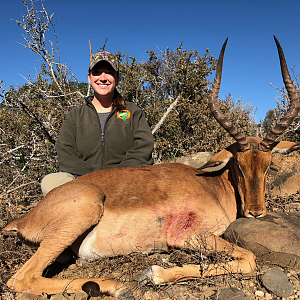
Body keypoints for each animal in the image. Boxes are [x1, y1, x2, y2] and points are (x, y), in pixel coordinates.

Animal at [2, 36, 300, 298]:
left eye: (269, 164)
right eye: (238, 163)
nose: (256, 213)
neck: (212, 185)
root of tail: (23, 220)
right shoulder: (189, 236)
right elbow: (249, 258)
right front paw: (153, 273)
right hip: (84, 208)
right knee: (21, 279)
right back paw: (114, 285)